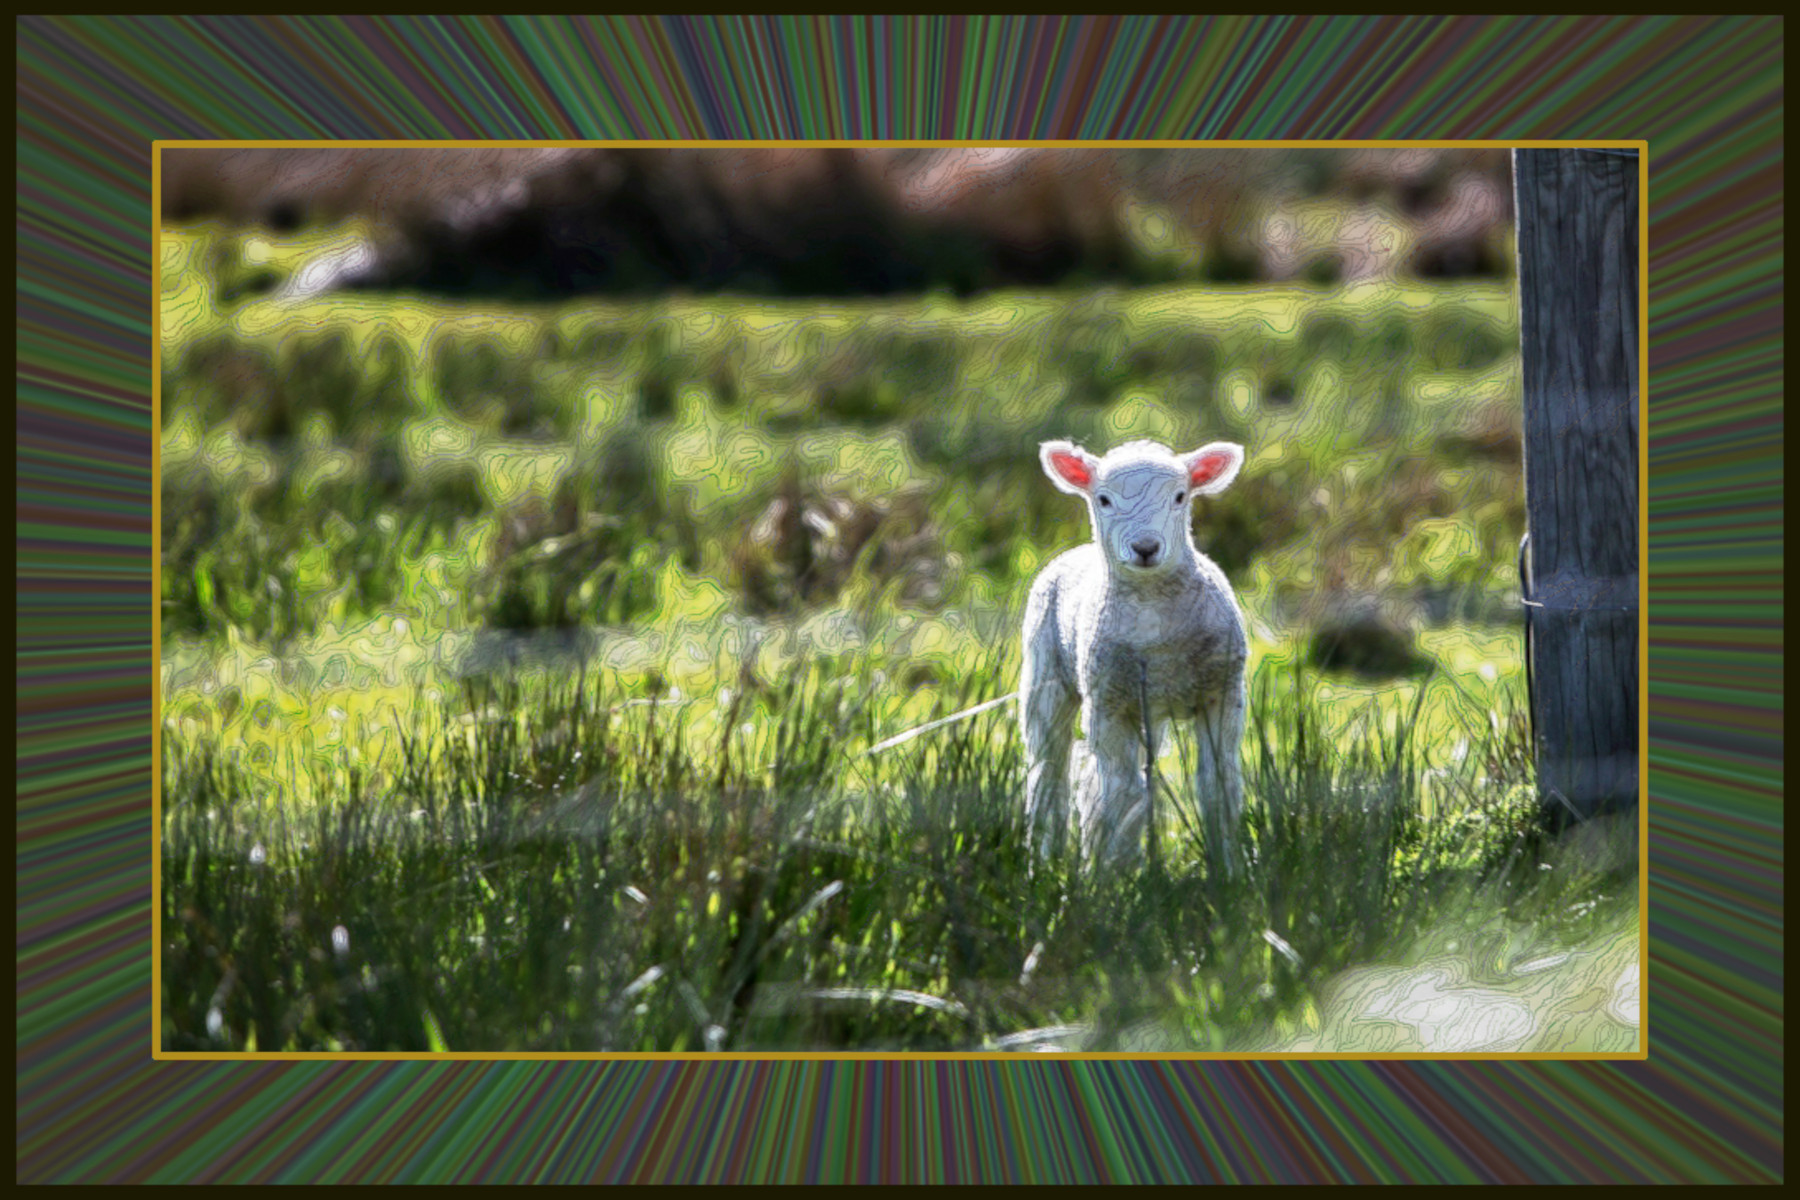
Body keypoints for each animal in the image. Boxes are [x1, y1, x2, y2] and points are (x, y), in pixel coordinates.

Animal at [1021, 438, 1248, 871]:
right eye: (1104, 500)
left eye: (1180, 497)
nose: (1145, 548)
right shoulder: (1109, 704)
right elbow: (1123, 794)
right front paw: (1116, 874)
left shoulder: (1222, 694)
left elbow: (1218, 785)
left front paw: (1231, 868)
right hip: (1045, 675)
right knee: (1050, 773)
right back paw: (1047, 860)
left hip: (1148, 708)